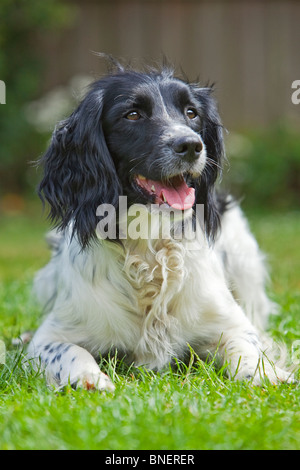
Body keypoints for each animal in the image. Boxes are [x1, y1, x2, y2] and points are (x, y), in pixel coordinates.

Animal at [27, 59, 292, 390]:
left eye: (191, 113)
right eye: (133, 114)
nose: (191, 145)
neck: (150, 244)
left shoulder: (229, 321)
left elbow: (246, 346)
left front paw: (264, 373)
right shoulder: (48, 337)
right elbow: (69, 352)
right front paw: (90, 379)